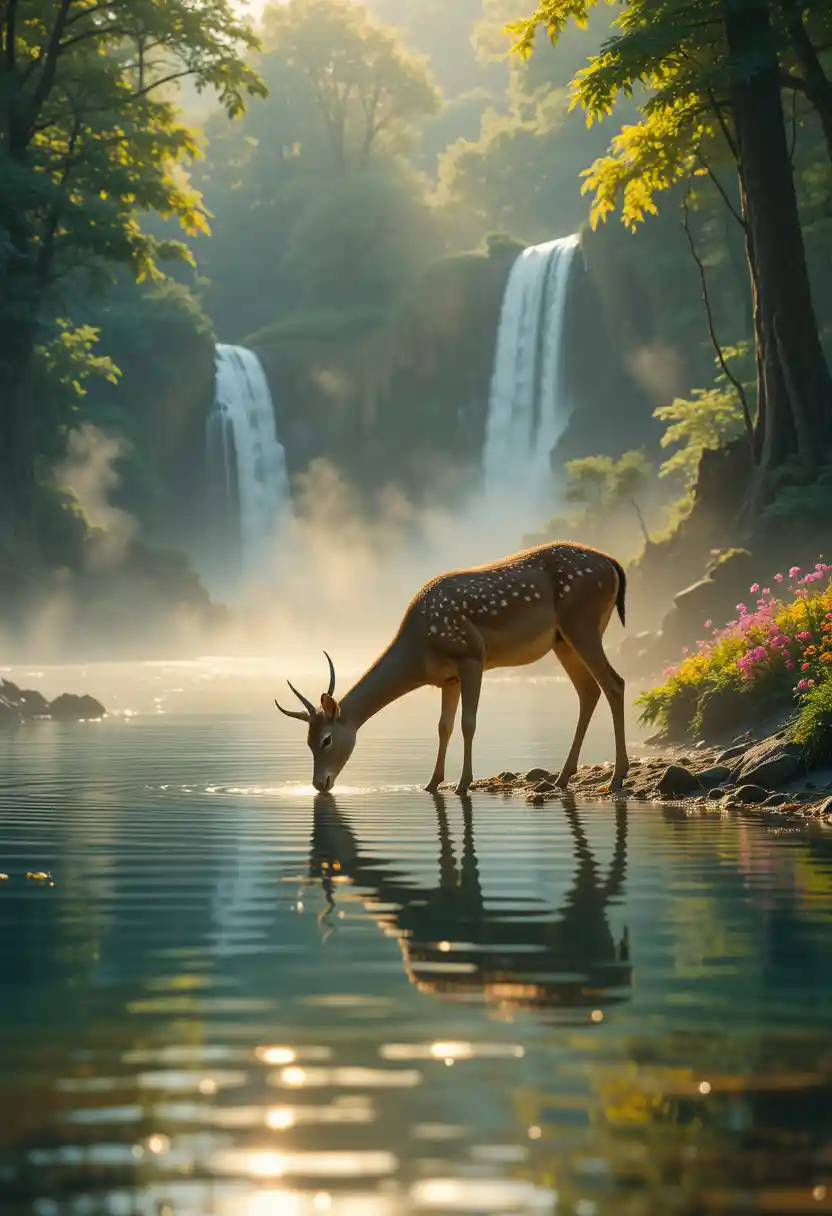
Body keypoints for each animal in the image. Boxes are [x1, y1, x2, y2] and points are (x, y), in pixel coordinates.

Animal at [275, 540, 629, 797]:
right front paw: (432, 783)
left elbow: (467, 723)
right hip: (563, 641)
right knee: (589, 690)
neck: (420, 652)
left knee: (614, 683)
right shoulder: (448, 679)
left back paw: (615, 778)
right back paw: (562, 778)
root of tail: (614, 564)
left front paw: (462, 784)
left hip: (581, 622)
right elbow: (443, 726)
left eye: (326, 740)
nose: (319, 784)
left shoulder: (471, 656)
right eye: (307, 741)